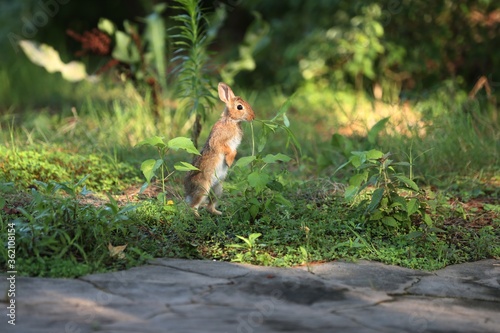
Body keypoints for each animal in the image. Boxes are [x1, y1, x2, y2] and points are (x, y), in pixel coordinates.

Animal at [184, 81, 256, 214]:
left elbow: (234, 151)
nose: (253, 117)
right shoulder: (218, 141)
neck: (231, 121)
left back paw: (218, 213)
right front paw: (228, 161)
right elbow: (224, 148)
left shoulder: (234, 146)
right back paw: (197, 215)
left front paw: (229, 162)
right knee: (193, 206)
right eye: (239, 107)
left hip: (218, 189)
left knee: (210, 206)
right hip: (203, 188)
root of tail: (188, 193)